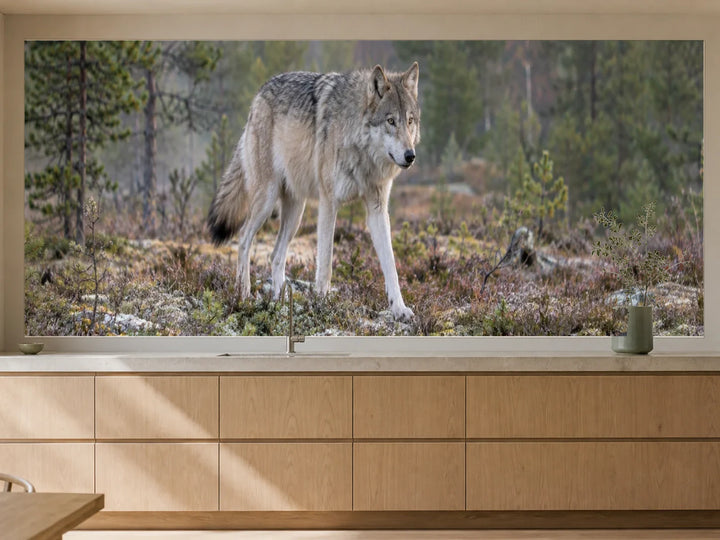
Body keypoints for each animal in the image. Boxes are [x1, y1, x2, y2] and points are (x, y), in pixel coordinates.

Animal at [207, 62, 420, 321]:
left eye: (410, 121)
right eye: (390, 121)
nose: (410, 155)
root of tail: (258, 96)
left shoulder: (377, 210)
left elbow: (391, 265)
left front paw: (399, 308)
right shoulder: (329, 202)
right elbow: (326, 262)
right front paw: (322, 303)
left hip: (296, 214)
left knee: (275, 256)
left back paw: (281, 302)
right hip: (266, 201)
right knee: (243, 239)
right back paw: (244, 295)